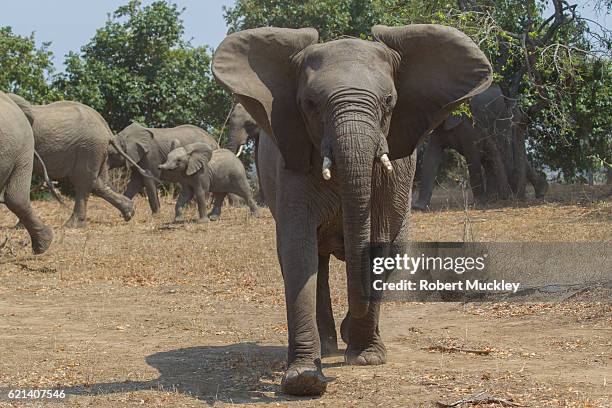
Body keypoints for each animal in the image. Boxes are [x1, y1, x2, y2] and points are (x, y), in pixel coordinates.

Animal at [7, 93, 136, 230]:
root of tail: (106, 128)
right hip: (97, 150)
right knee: (98, 183)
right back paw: (130, 212)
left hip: (89, 148)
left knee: (83, 182)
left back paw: (72, 225)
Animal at [212, 23, 492, 396]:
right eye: (311, 104)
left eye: (389, 102)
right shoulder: (292, 160)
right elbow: (298, 250)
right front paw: (303, 379)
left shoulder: (393, 173)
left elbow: (377, 242)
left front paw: (366, 358)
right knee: (313, 261)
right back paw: (330, 345)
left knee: (392, 252)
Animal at [412, 83, 548, 210]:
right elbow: (431, 156)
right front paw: (419, 207)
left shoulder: (470, 123)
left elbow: (472, 155)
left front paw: (478, 203)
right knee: (491, 159)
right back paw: (492, 198)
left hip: (509, 121)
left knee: (503, 153)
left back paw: (538, 192)